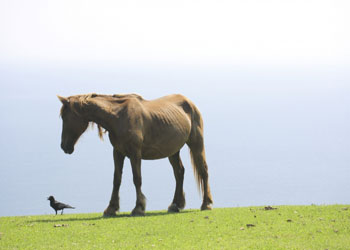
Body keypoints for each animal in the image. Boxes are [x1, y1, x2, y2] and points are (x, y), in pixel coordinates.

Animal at [57, 93, 213, 216]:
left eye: (64, 116)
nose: (64, 146)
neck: (118, 117)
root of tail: (189, 102)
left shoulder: (135, 153)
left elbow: (137, 179)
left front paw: (138, 208)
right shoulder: (118, 153)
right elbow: (116, 180)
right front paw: (111, 208)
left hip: (196, 144)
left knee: (203, 170)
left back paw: (206, 204)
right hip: (173, 150)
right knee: (179, 173)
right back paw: (175, 205)